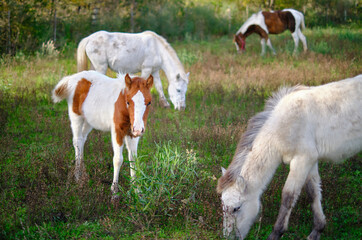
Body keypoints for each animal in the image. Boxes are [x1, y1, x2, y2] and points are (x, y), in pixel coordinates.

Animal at [51, 70, 153, 198]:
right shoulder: (117, 130)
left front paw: (137, 191)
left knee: (82, 140)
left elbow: (133, 159)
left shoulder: (132, 133)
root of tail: (72, 78)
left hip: (89, 121)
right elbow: (118, 159)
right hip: (76, 117)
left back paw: (82, 173)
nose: (139, 129)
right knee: (77, 141)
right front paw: (114, 191)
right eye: (128, 102)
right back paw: (78, 176)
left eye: (149, 102)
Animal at [218, 74, 362, 239]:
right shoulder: (310, 162)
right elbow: (313, 192)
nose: (227, 237)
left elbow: (288, 196)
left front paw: (276, 233)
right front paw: (317, 230)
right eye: (223, 206)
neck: (282, 126)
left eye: (237, 208)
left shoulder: (302, 160)